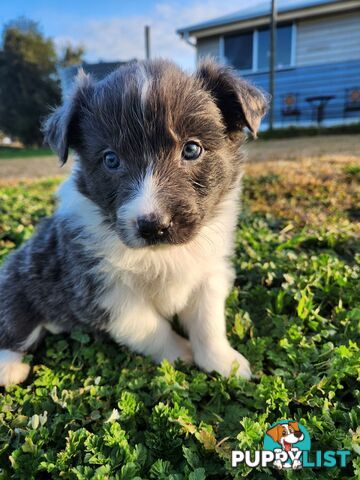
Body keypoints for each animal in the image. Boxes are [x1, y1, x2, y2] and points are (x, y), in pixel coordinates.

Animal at [0, 59, 268, 386]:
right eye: (111, 159)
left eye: (192, 149)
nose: (153, 226)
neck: (162, 256)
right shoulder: (107, 293)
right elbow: (152, 328)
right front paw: (182, 355)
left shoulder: (209, 272)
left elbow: (208, 322)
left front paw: (223, 362)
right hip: (15, 283)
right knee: (14, 324)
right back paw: (9, 366)